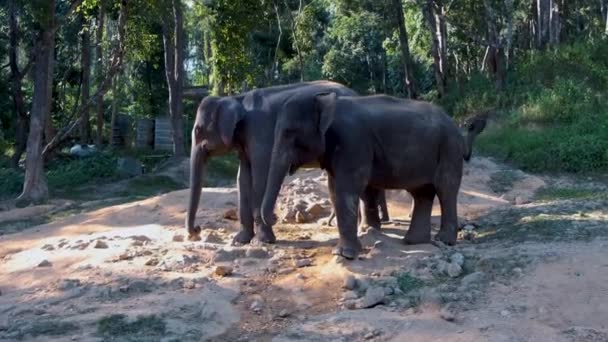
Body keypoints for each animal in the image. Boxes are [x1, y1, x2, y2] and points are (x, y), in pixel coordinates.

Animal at [183, 82, 360, 244]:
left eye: (198, 130)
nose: (197, 231)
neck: (237, 98)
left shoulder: (259, 133)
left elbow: (261, 173)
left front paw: (263, 241)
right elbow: (243, 177)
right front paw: (240, 241)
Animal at [258, 92, 486, 258]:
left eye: (289, 133)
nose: (275, 217)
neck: (325, 100)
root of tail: (455, 125)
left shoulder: (352, 141)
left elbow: (347, 188)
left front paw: (345, 255)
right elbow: (336, 189)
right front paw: (365, 233)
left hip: (448, 149)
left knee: (445, 188)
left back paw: (443, 241)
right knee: (422, 193)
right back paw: (413, 241)